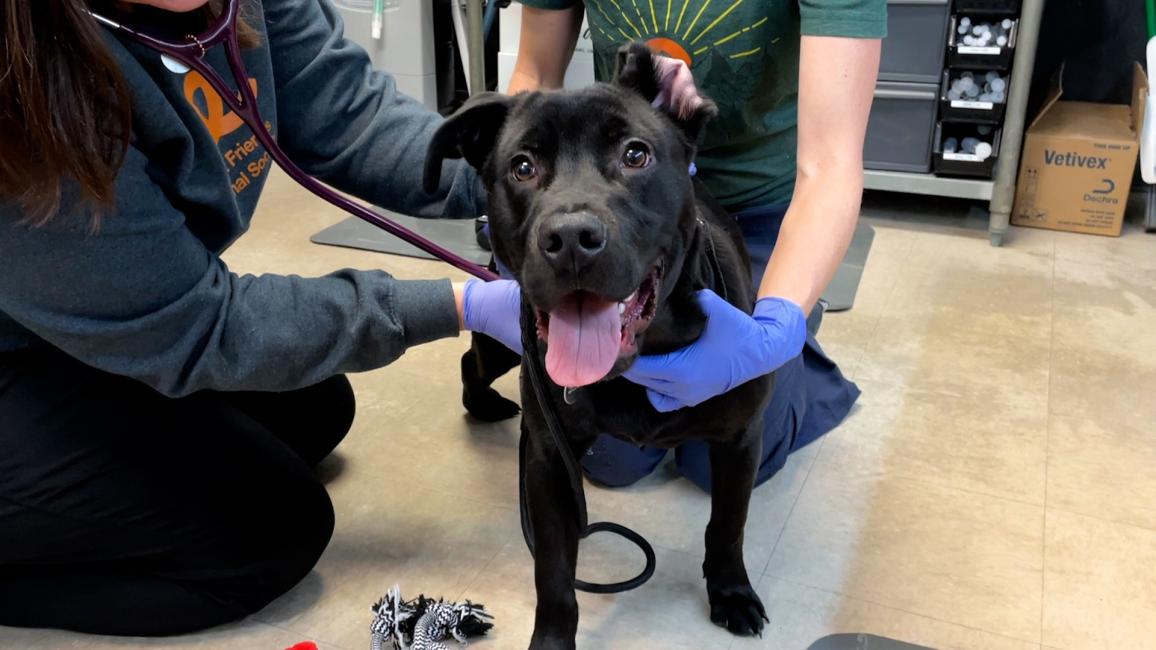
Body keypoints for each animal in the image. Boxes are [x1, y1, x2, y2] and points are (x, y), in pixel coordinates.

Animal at [423, 43, 767, 643]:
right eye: (522, 167)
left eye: (635, 154)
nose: (570, 239)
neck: (645, 358)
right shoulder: (549, 461)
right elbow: (555, 575)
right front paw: (551, 640)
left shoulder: (740, 439)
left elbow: (728, 524)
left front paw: (731, 591)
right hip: (505, 345)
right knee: (472, 358)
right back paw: (482, 402)